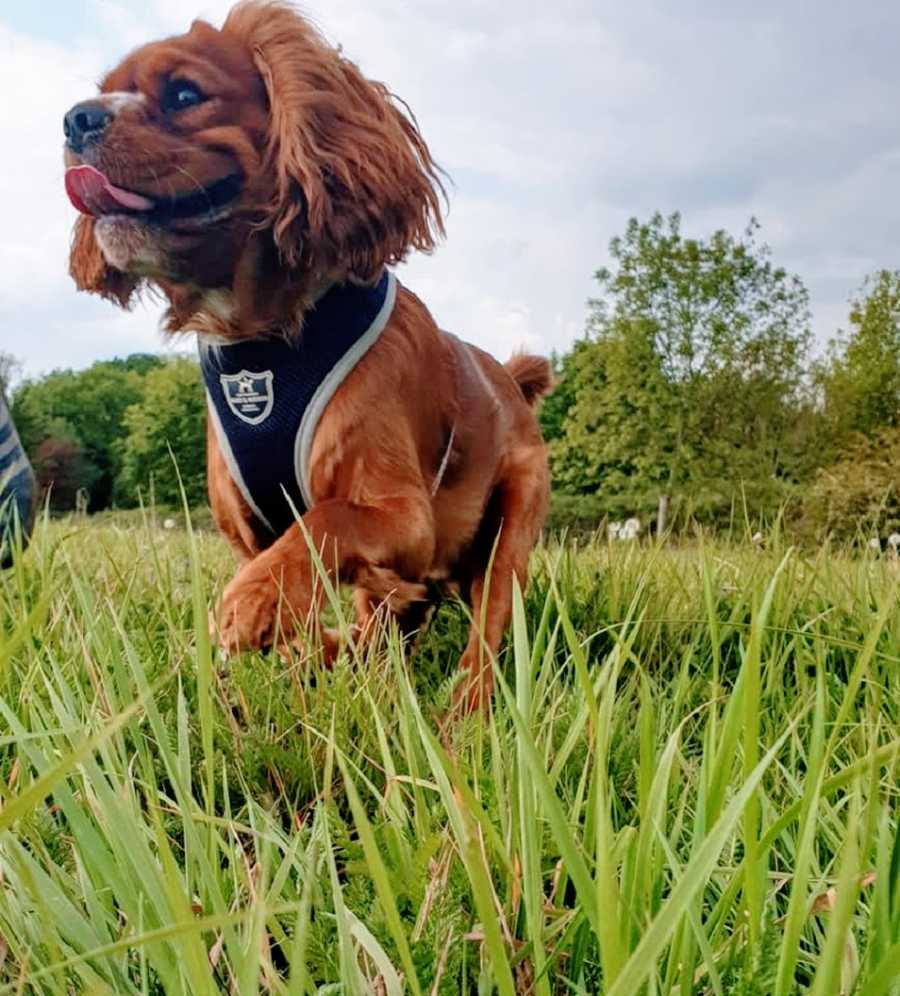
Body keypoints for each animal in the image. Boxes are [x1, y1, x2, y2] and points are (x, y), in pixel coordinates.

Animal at [63, 1, 552, 716]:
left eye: (184, 95)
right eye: (101, 90)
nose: (75, 119)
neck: (260, 344)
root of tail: (510, 381)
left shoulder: (406, 514)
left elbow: (327, 521)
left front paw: (255, 601)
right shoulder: (251, 533)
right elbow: (314, 596)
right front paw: (291, 648)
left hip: (512, 523)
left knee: (484, 634)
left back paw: (462, 719)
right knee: (392, 618)